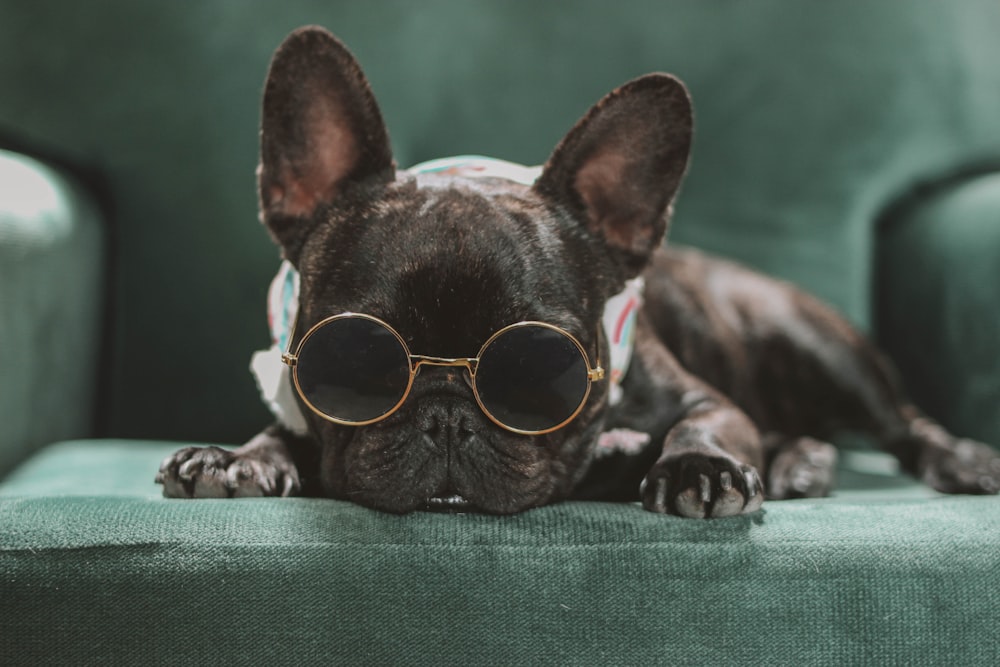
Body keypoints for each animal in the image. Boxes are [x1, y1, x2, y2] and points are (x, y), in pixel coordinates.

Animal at [154, 26, 1000, 520]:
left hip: (814, 347)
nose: (447, 414)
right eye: (355, 363)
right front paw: (237, 456)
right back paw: (803, 461)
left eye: (541, 368)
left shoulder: (704, 395)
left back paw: (954, 458)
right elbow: (284, 429)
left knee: (903, 422)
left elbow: (710, 421)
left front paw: (700, 465)